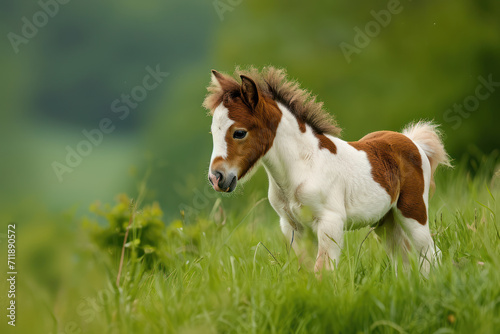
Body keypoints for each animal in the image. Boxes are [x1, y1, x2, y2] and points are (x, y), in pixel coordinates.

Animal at [203, 66, 450, 272]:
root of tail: (413, 142)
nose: (217, 178)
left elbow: (323, 271)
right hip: (385, 220)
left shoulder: (330, 223)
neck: (303, 167)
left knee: (429, 253)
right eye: (213, 132)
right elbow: (307, 272)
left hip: (413, 213)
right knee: (404, 259)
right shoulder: (294, 229)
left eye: (239, 132)